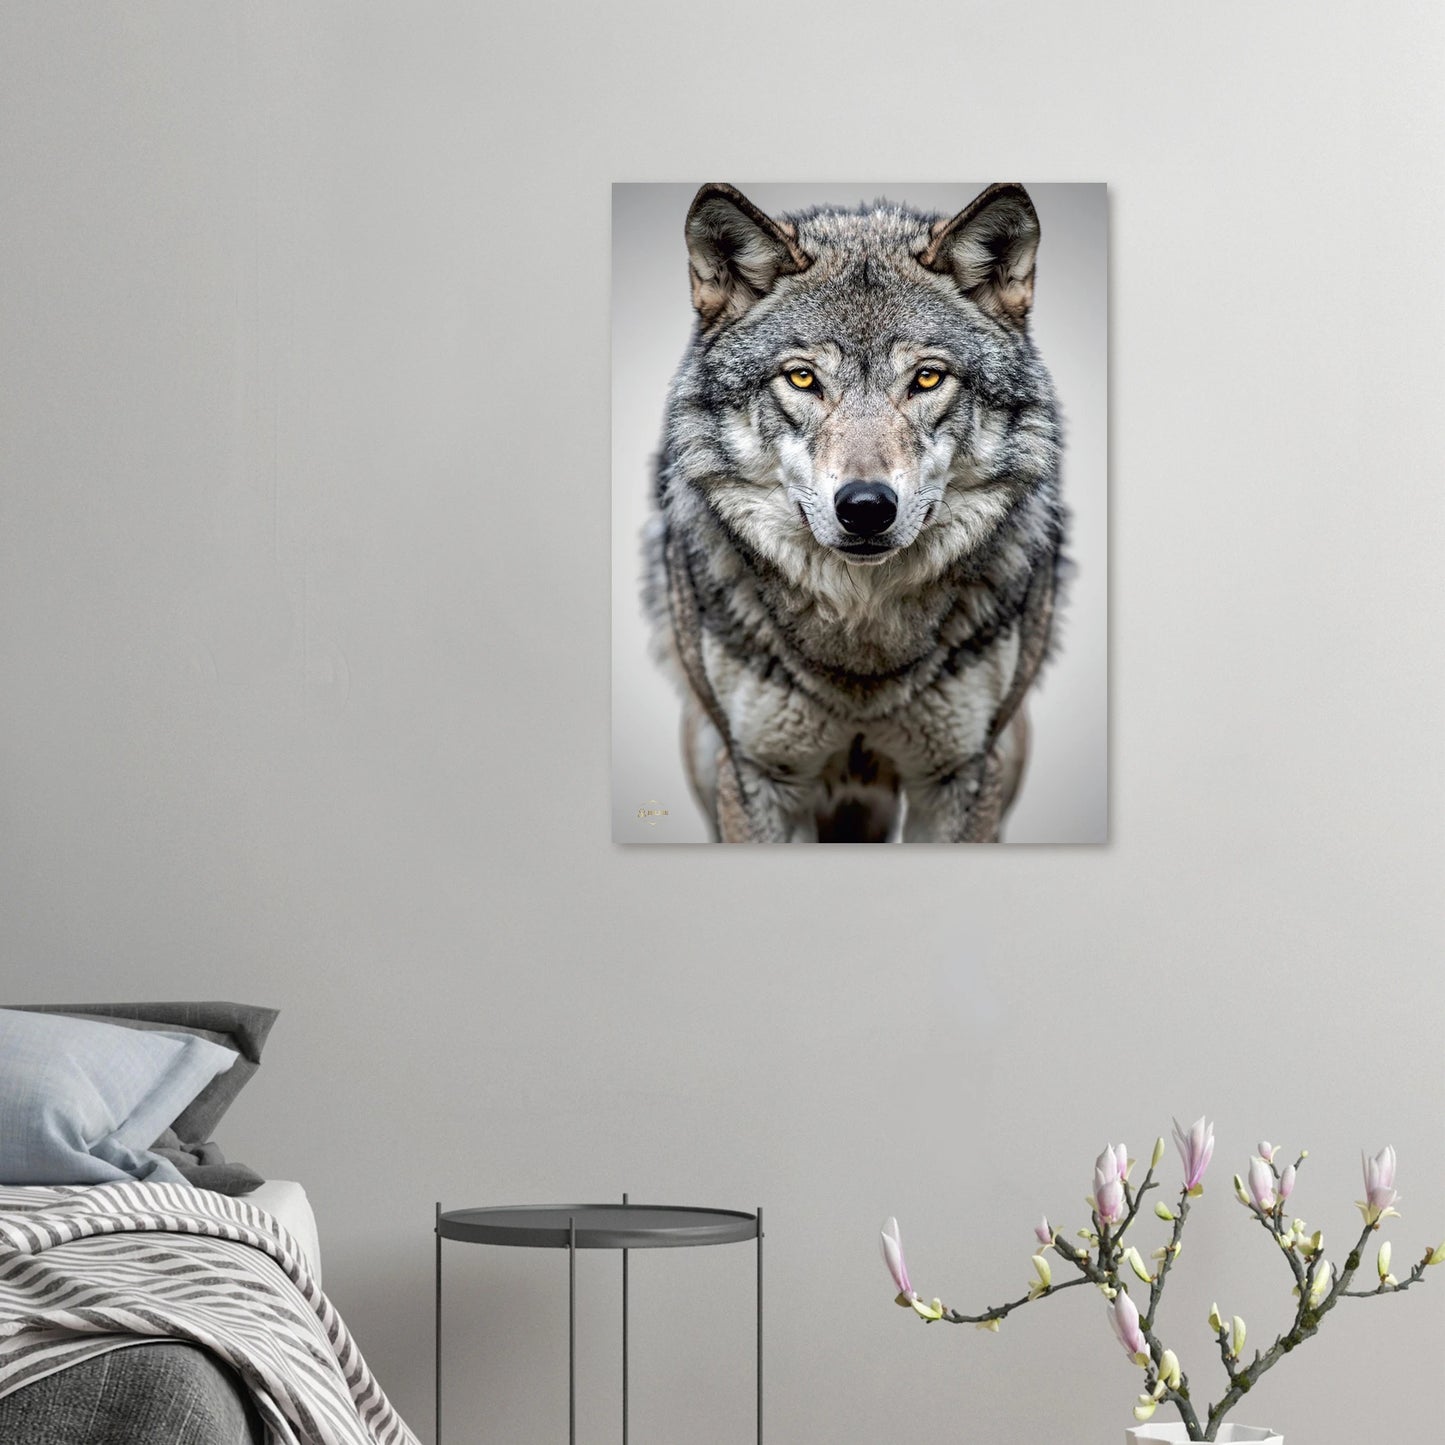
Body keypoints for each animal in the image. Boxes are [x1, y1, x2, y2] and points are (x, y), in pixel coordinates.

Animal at [642, 183, 1067, 843]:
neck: (862, 642)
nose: (866, 508)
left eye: (927, 378)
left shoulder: (960, 776)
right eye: (802, 378)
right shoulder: (758, 774)